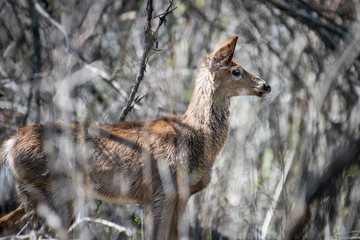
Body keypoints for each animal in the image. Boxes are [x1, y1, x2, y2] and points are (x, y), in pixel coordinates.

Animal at [0, 35, 270, 238]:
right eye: (236, 71)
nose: (266, 85)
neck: (197, 137)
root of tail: (10, 144)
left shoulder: (181, 196)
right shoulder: (163, 191)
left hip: (39, 192)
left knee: (9, 224)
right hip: (49, 190)